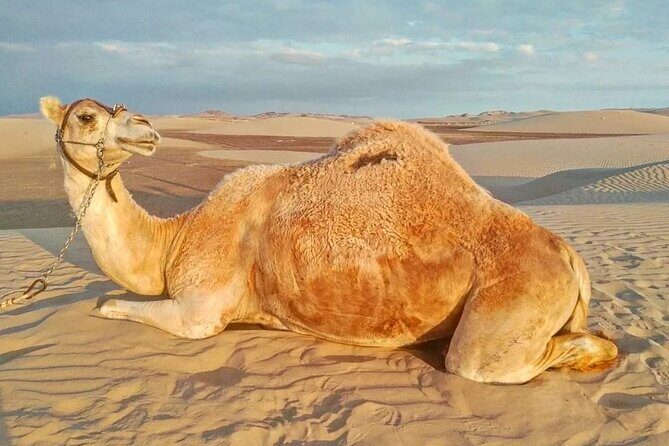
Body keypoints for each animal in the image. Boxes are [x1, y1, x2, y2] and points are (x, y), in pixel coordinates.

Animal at [39, 96, 618, 384]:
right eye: (88, 114)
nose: (146, 127)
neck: (176, 238)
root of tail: (571, 258)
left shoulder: (198, 311)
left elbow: (108, 304)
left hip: (502, 313)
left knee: (500, 359)